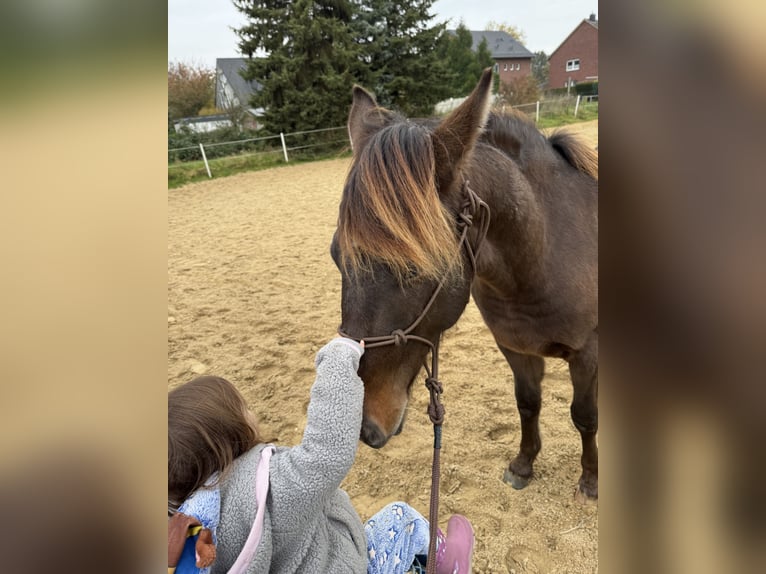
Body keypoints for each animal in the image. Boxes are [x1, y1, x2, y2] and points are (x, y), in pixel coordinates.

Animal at [332, 67, 604, 502]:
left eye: (417, 267)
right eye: (335, 256)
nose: (363, 424)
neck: (542, 257)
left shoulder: (587, 354)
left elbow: (585, 416)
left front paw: (591, 480)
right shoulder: (515, 347)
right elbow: (527, 404)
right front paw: (523, 464)